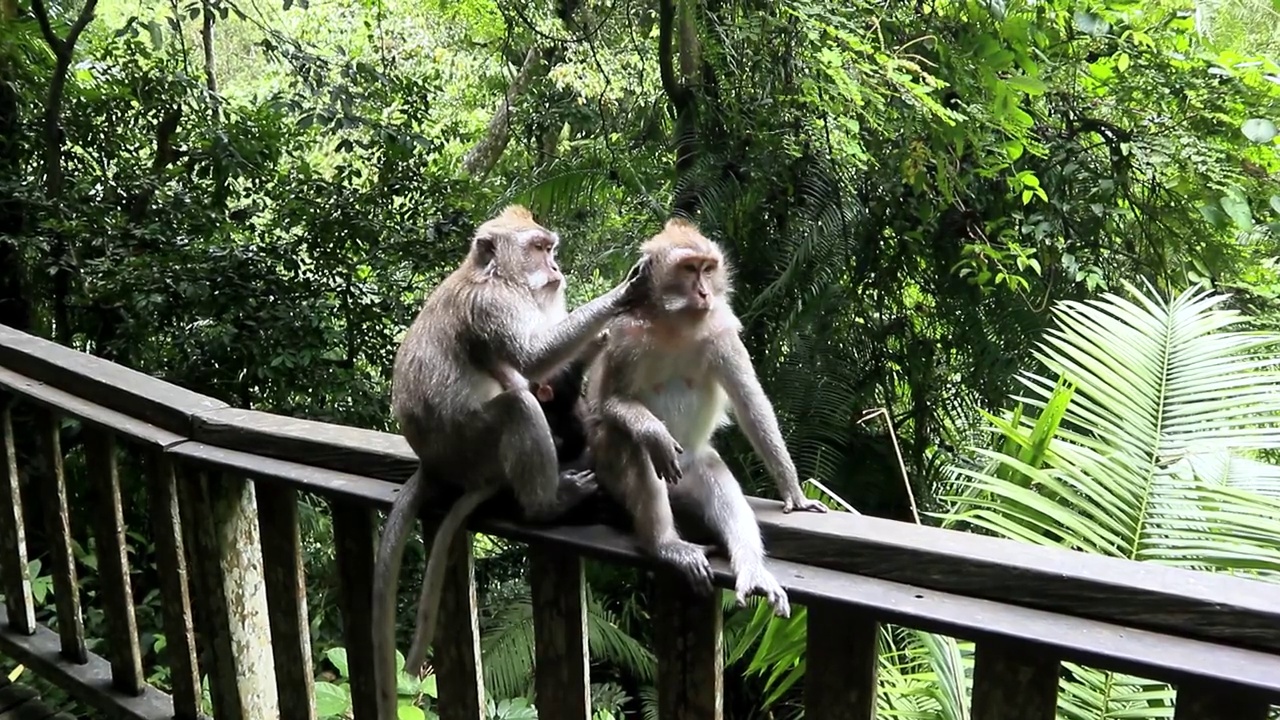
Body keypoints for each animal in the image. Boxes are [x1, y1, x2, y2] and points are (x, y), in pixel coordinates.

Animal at [371, 204, 650, 712]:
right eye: (539, 249)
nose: (556, 268)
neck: (495, 277)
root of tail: (432, 463)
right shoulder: (493, 308)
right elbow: (533, 358)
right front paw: (627, 291)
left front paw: (601, 337)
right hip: (473, 448)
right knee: (518, 404)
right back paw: (548, 503)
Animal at [583, 219, 824, 617]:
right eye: (688, 268)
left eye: (708, 268)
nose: (704, 292)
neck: (674, 325)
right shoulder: (623, 335)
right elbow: (608, 403)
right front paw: (655, 433)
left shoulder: (723, 332)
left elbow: (750, 402)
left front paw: (793, 491)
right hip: (610, 468)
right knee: (630, 444)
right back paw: (665, 544)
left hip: (691, 471)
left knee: (714, 475)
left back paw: (751, 568)